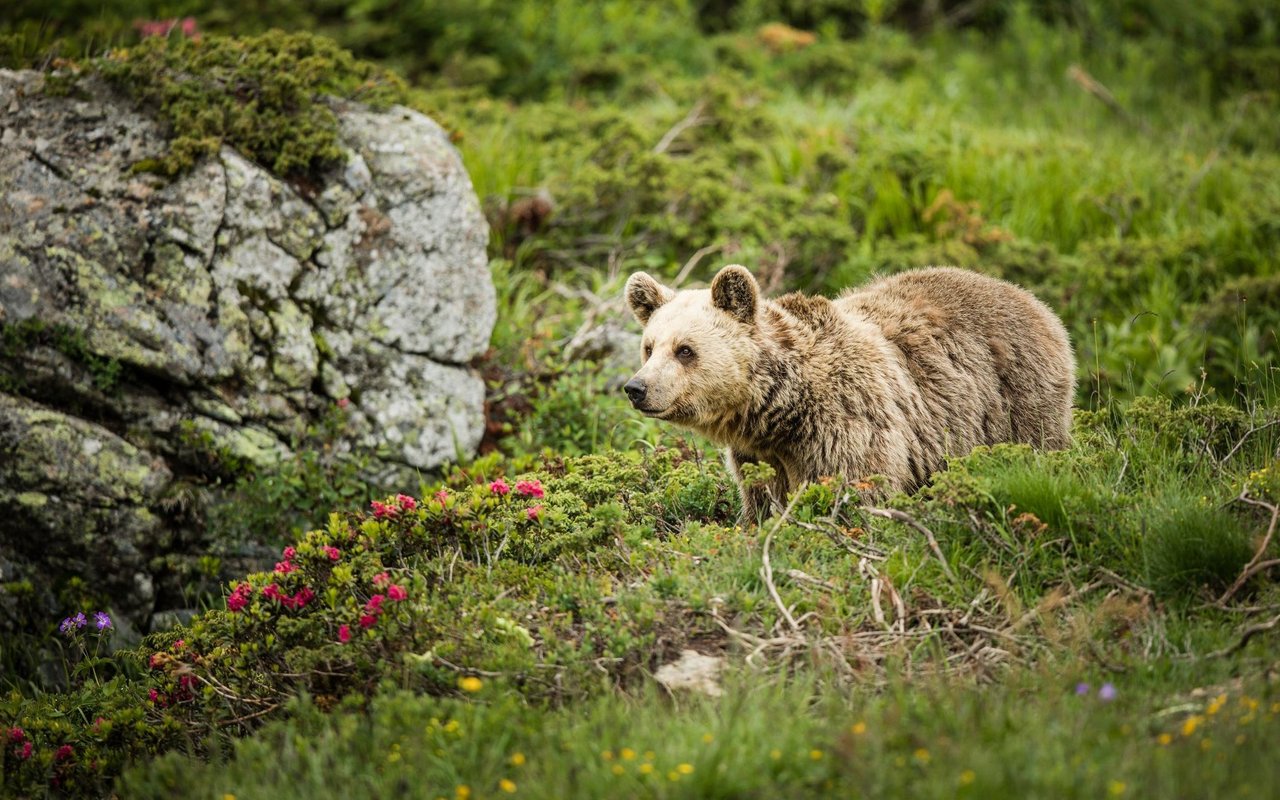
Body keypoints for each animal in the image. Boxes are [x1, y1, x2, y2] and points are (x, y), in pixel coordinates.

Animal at [624, 264, 1075, 522]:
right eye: (649, 346)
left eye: (685, 350)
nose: (636, 388)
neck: (780, 408)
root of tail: (1028, 298)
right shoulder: (759, 454)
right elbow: (761, 498)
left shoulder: (848, 424)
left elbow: (856, 491)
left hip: (1016, 402)